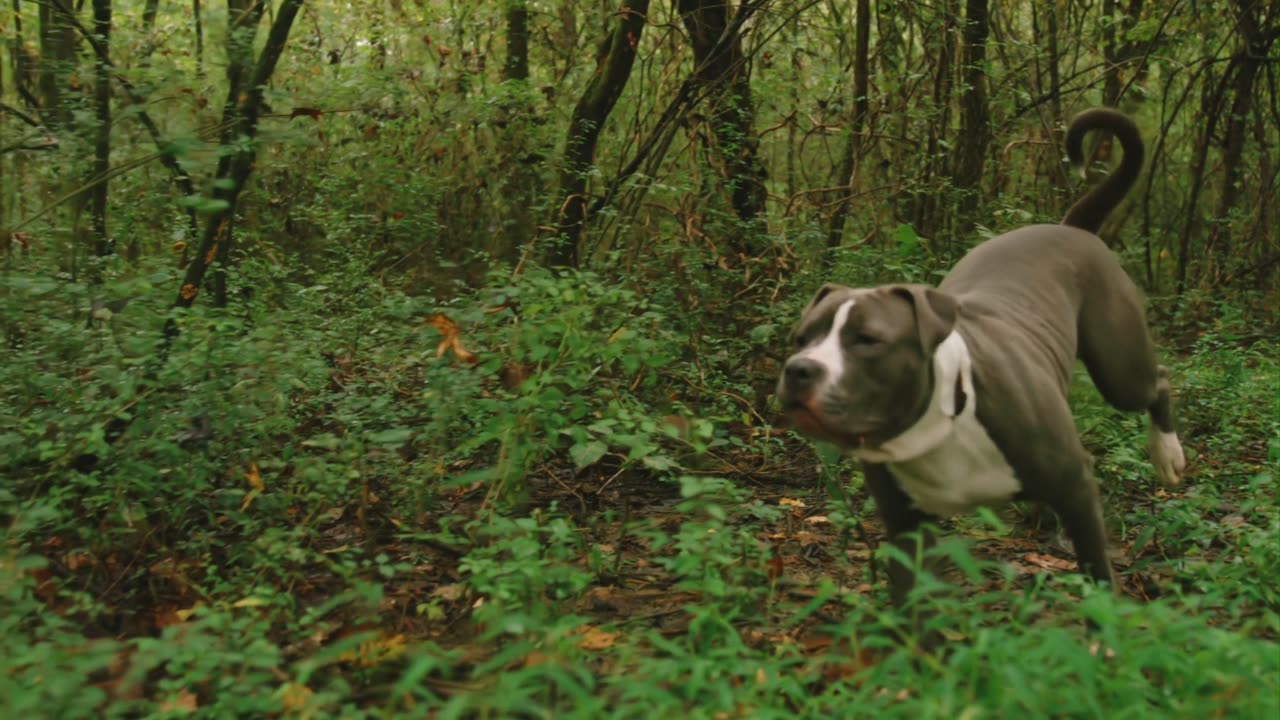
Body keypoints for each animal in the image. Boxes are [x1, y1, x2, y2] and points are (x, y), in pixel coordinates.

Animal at [778, 107, 1187, 638]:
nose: (798, 370)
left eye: (867, 340)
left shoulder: (1077, 488)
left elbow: (1098, 573)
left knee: (1156, 381)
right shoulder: (907, 530)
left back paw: (1167, 454)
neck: (941, 423)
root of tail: (1072, 228)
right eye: (801, 337)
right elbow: (917, 611)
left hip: (1119, 366)